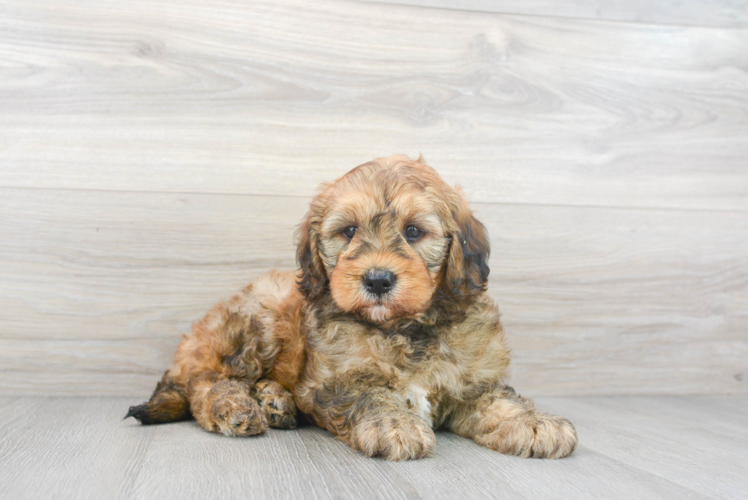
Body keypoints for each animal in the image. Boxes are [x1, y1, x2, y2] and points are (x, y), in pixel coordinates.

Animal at [127, 155, 580, 460]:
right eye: (347, 232)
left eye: (413, 231)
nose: (377, 280)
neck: (402, 329)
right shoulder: (334, 381)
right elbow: (370, 394)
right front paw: (394, 424)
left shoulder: (474, 379)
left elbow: (498, 400)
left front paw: (533, 423)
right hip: (259, 320)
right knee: (205, 381)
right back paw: (234, 407)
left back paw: (275, 401)